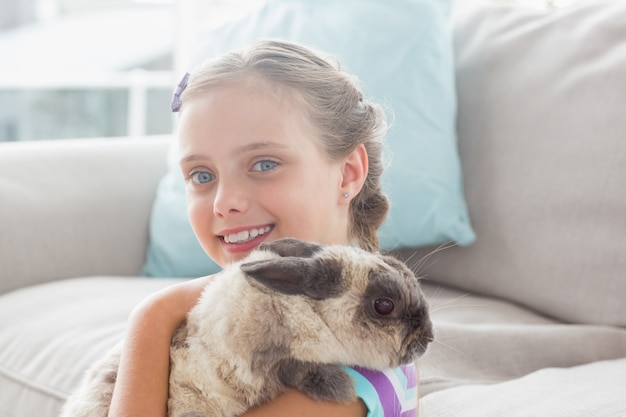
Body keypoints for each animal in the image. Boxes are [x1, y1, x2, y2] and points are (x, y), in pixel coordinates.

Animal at [61, 237, 432, 416]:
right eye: (384, 305)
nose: (428, 338)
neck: (305, 311)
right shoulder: (253, 363)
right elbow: (293, 368)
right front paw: (340, 387)